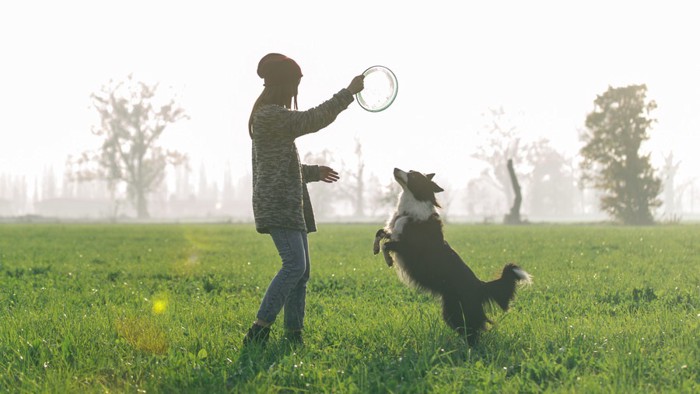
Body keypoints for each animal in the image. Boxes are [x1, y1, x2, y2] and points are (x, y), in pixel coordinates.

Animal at [372, 169, 532, 344]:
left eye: (412, 174)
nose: (395, 168)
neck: (411, 207)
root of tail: (479, 286)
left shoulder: (408, 247)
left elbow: (387, 245)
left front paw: (388, 259)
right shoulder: (394, 233)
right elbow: (380, 233)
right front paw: (375, 248)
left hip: (454, 311)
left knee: (473, 333)